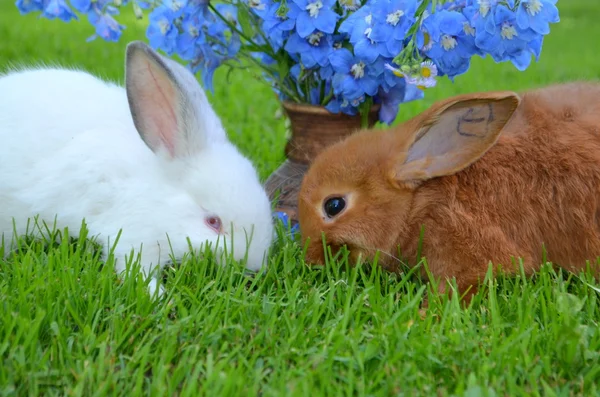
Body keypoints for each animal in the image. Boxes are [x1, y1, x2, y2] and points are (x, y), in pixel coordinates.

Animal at [0, 40, 274, 296]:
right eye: (213, 222)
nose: (254, 267)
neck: (157, 193)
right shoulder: (134, 235)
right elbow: (134, 268)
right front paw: (158, 296)